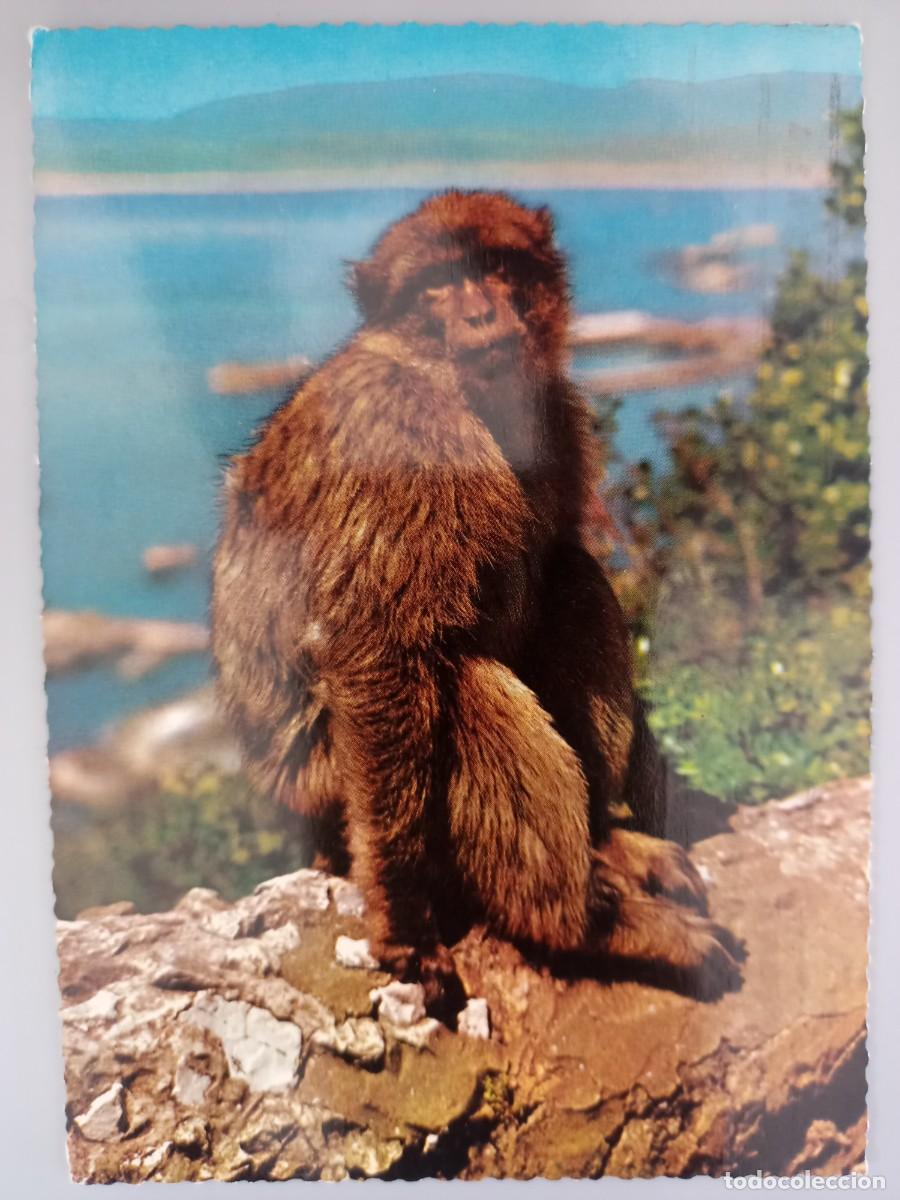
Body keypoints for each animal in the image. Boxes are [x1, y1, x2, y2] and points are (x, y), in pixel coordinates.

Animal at [211, 190, 743, 1005]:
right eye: (437, 284)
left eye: (495, 266)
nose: (481, 313)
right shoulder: (399, 434)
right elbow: (379, 648)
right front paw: (404, 922)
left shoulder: (556, 412)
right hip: (328, 788)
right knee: (455, 679)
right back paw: (584, 924)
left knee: (572, 580)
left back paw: (606, 844)